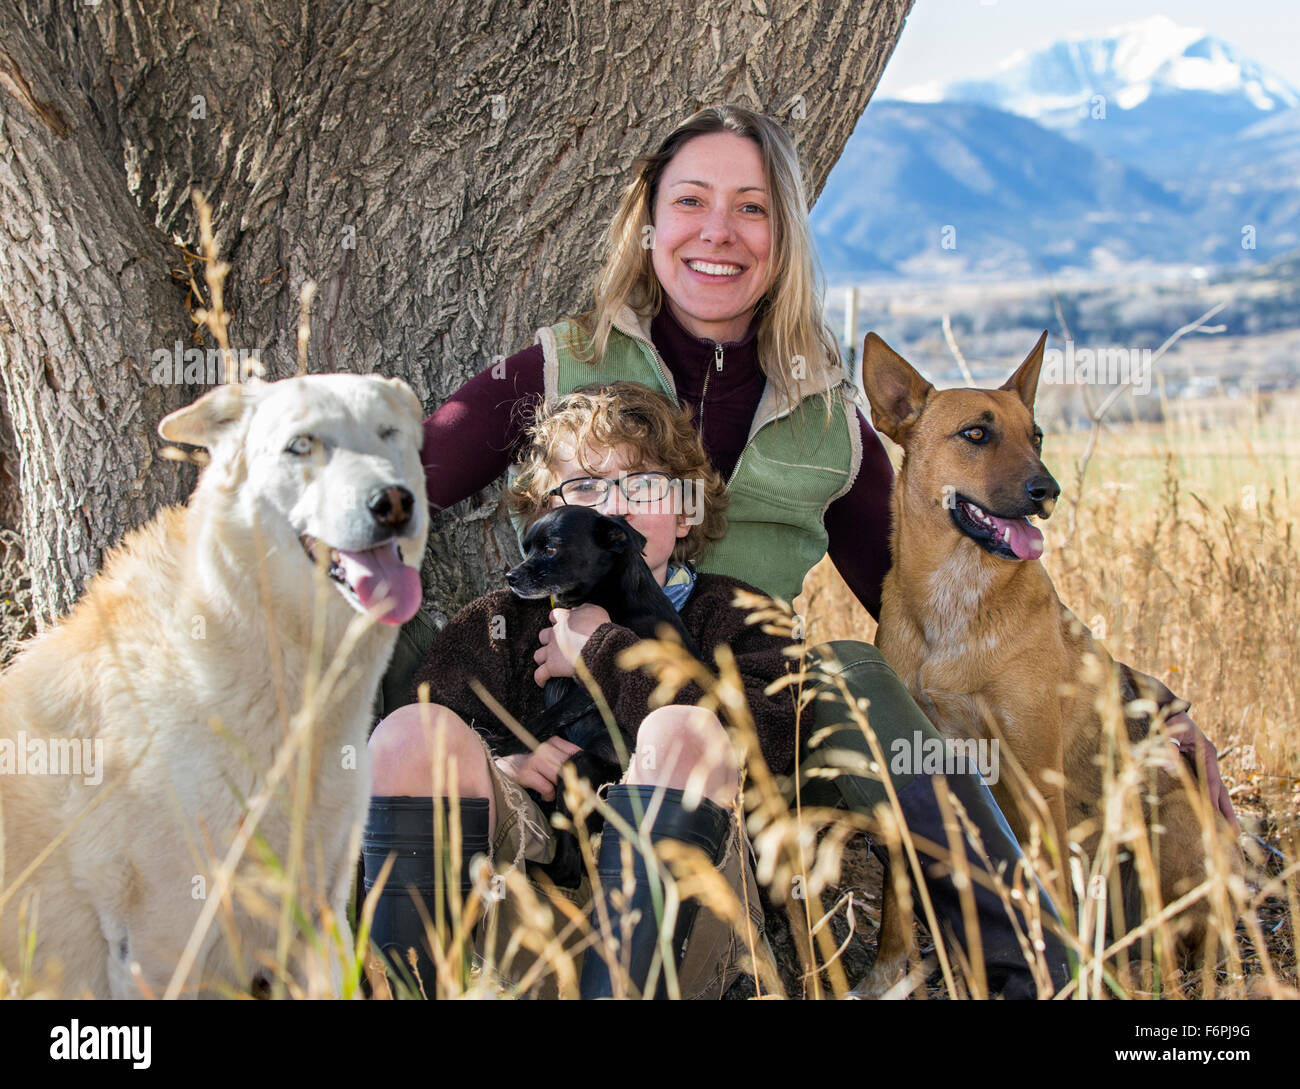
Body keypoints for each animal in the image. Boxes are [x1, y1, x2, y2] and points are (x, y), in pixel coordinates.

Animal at [504, 506, 696, 888]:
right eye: (526, 548)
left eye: (551, 549)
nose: (510, 577)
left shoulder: (594, 682)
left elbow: (546, 716)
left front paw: (506, 742)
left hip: (580, 767)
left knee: (569, 867)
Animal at [857, 332, 1242, 998]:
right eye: (976, 434)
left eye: (1035, 435)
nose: (1048, 491)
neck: (956, 597)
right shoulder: (915, 756)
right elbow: (897, 896)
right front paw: (889, 972)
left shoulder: (1038, 779)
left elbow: (1051, 886)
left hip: (1166, 823)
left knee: (1176, 943)